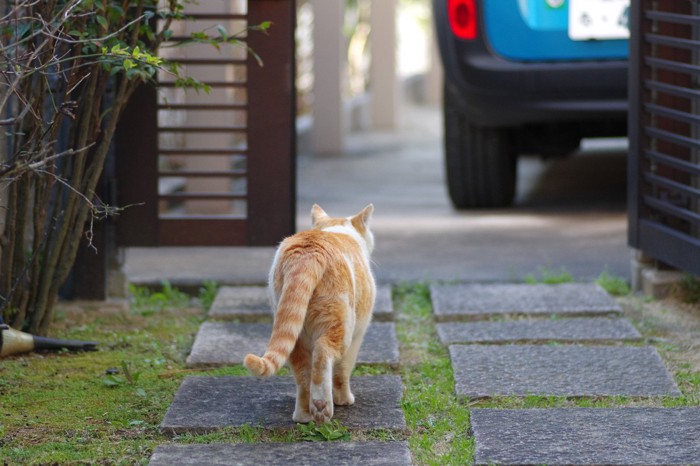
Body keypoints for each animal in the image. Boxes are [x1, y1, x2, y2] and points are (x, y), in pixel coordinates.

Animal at [246, 204, 378, 422]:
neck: (335, 229)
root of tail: (308, 253)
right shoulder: (357, 337)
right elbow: (342, 372)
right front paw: (344, 399)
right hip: (340, 327)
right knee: (322, 355)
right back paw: (322, 407)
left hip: (294, 330)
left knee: (303, 374)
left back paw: (303, 416)